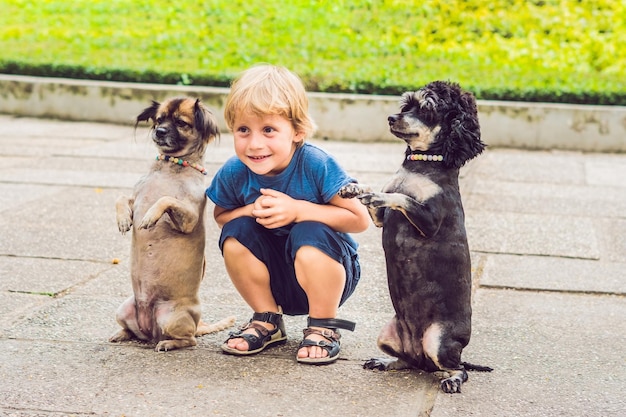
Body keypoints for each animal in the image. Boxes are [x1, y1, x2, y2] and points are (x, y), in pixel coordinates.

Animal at [109, 97, 234, 352]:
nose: (160, 131)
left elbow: (166, 199)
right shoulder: (135, 199)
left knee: (189, 340)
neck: (168, 168)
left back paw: (168, 343)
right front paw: (124, 219)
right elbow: (121, 197)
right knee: (133, 331)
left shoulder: (189, 218)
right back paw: (122, 334)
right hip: (123, 310)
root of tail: (151, 330)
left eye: (181, 123)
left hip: (172, 318)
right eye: (159, 120)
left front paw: (150, 217)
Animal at [338, 79, 490, 392]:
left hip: (438, 341)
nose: (391, 118)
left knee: (458, 368)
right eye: (406, 105)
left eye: (428, 109)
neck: (421, 165)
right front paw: (355, 189)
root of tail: (423, 355)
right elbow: (379, 195)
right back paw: (386, 362)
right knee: (407, 361)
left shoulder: (429, 220)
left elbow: (401, 197)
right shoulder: (380, 219)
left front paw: (379, 194)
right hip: (388, 335)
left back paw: (452, 379)